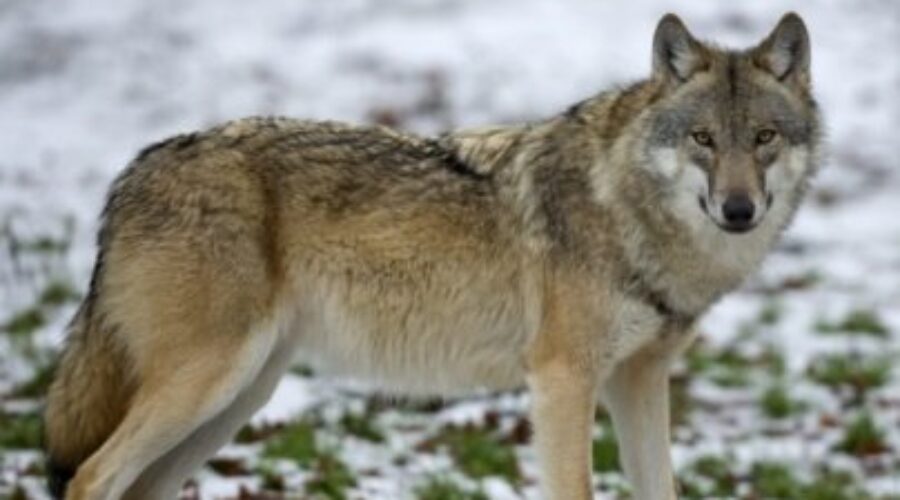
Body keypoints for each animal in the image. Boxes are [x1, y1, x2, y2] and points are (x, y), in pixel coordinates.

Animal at [44, 12, 820, 500]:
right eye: (703, 139)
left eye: (763, 138)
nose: (739, 211)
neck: (624, 208)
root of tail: (132, 173)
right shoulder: (564, 380)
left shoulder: (638, 380)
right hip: (209, 382)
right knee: (89, 477)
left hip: (239, 397)